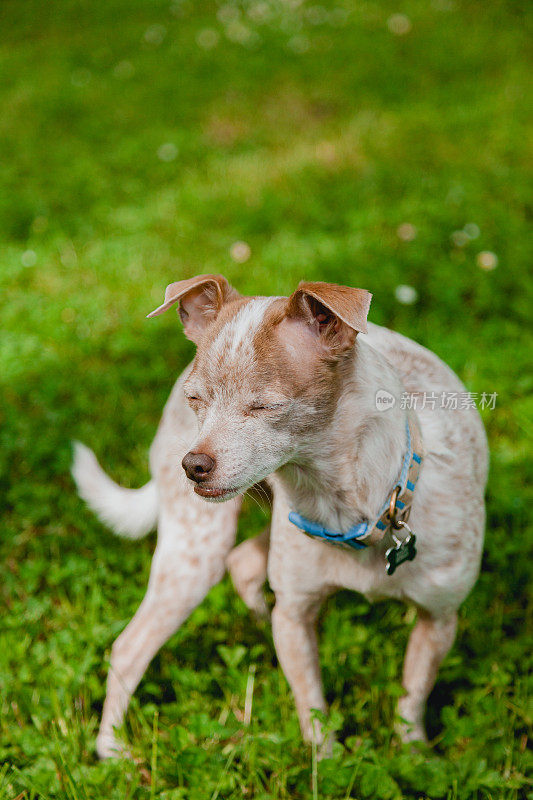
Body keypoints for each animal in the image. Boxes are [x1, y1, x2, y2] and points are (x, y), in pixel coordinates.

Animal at [72, 278, 488, 760]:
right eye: (196, 401)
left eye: (265, 407)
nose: (192, 466)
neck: (350, 508)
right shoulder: (294, 618)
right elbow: (314, 712)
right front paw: (328, 766)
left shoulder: (439, 620)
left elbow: (411, 697)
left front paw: (414, 757)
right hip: (194, 556)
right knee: (129, 646)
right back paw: (111, 750)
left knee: (243, 563)